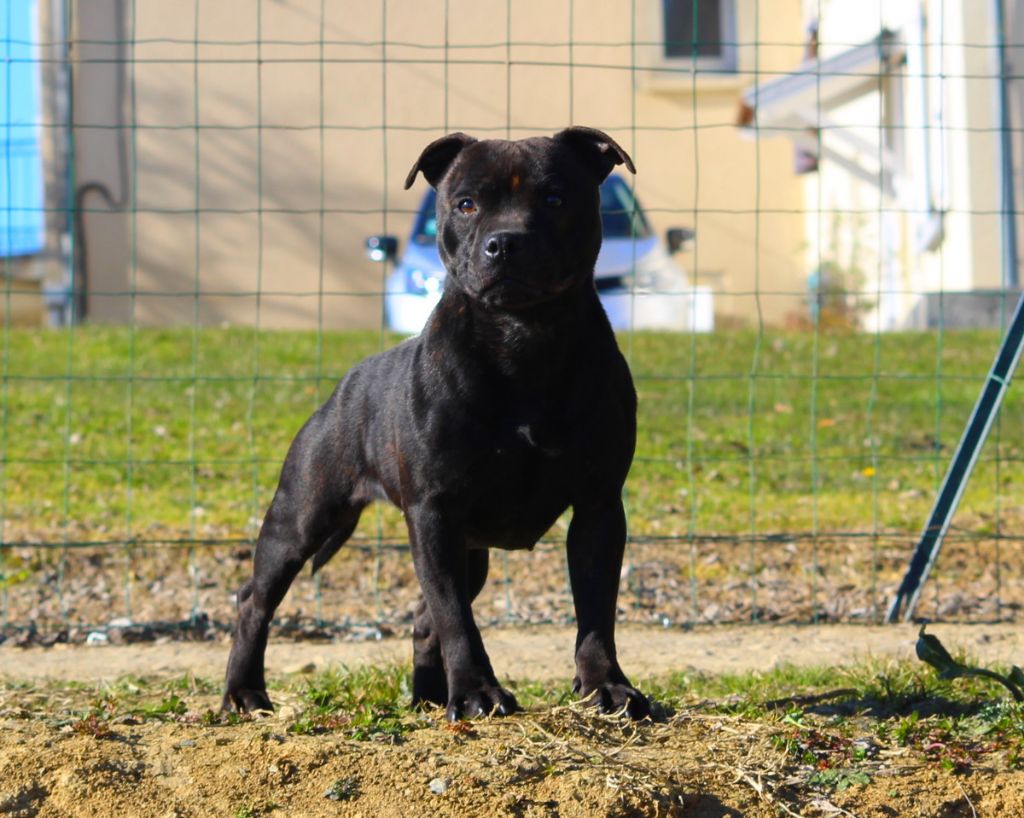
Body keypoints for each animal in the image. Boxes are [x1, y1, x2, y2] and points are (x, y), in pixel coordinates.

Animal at [228, 124, 651, 720]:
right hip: (301, 517)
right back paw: (243, 692)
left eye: (554, 198)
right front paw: (476, 692)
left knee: (424, 617)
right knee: (256, 601)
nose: (505, 242)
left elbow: (595, 611)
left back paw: (426, 698)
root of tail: (344, 383)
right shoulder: (434, 512)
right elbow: (456, 619)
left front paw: (606, 687)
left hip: (469, 552)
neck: (523, 339)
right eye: (466, 203)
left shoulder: (598, 508)